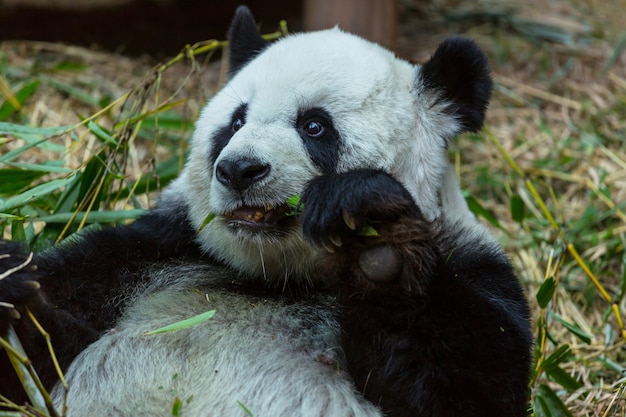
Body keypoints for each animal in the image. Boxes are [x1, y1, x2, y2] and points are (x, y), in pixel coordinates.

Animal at [0, 6, 532, 416]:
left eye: (315, 126)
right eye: (235, 122)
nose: (239, 169)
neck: (278, 276)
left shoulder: (470, 264)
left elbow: (470, 386)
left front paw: (375, 241)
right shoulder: (154, 250)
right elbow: (40, 354)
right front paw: (13, 282)